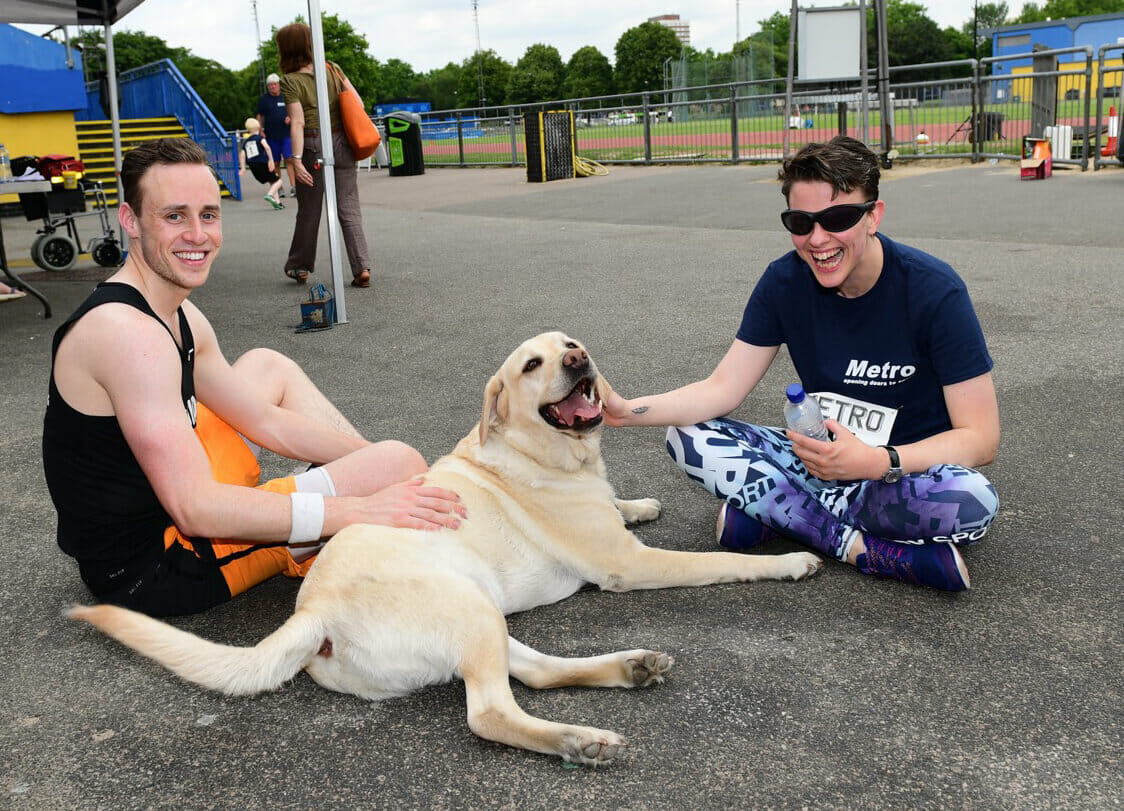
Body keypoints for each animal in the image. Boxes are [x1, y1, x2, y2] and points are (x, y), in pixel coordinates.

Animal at [72, 330, 827, 763]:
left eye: (570, 343)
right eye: (533, 364)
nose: (579, 359)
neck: (544, 453)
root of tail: (310, 613)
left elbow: (621, 505)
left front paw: (636, 502)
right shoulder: (629, 564)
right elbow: (719, 562)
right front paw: (787, 560)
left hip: (478, 609)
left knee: (533, 673)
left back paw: (628, 668)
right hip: (466, 608)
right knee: (489, 712)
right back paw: (577, 740)